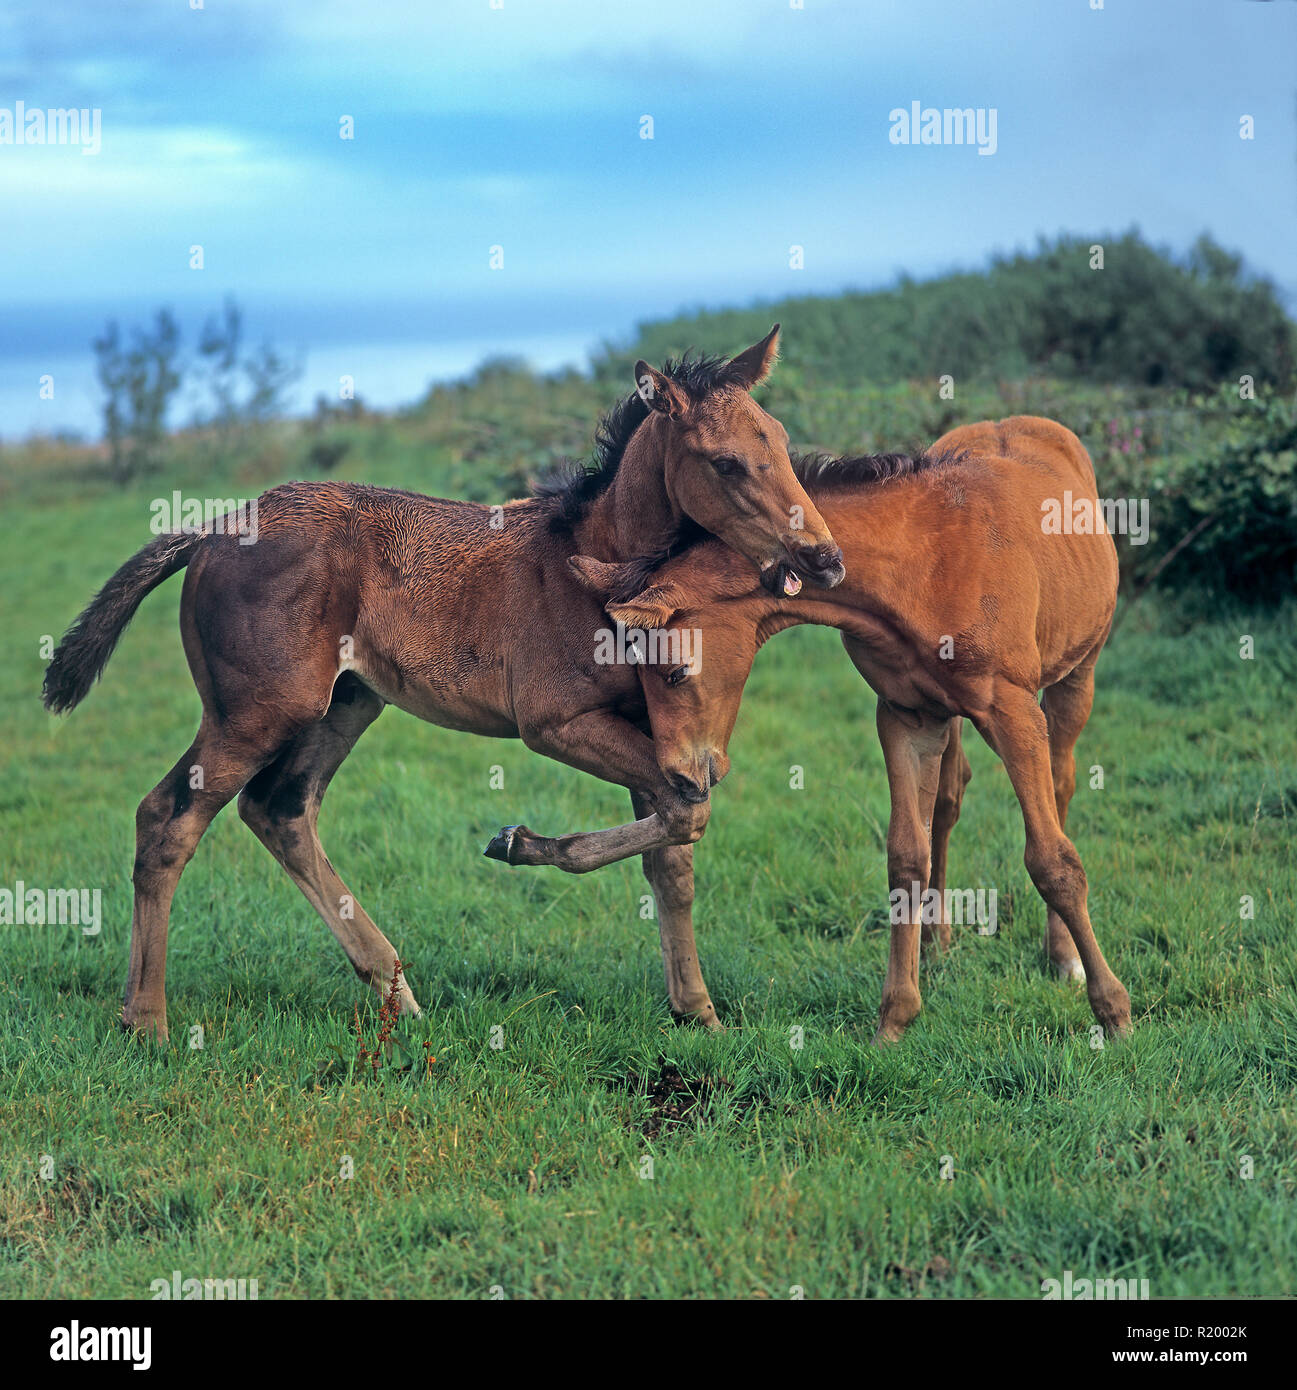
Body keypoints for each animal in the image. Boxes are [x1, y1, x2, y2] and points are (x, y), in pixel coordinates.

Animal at [43, 330, 839, 1039]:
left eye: (778, 437)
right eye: (725, 463)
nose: (824, 558)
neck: (599, 562)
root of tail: (209, 530)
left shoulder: (653, 729)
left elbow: (674, 850)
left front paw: (698, 1013)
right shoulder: (557, 723)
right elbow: (686, 813)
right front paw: (518, 843)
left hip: (343, 703)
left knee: (280, 810)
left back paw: (397, 995)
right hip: (257, 711)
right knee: (168, 818)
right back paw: (146, 1022)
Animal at [500, 417, 1128, 1045]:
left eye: (673, 671)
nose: (678, 776)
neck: (925, 564)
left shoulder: (1013, 713)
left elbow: (1052, 860)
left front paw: (1113, 1012)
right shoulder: (906, 715)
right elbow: (907, 855)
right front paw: (895, 1019)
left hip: (1078, 675)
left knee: (1061, 786)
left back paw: (1062, 958)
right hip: (948, 716)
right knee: (949, 802)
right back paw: (936, 943)